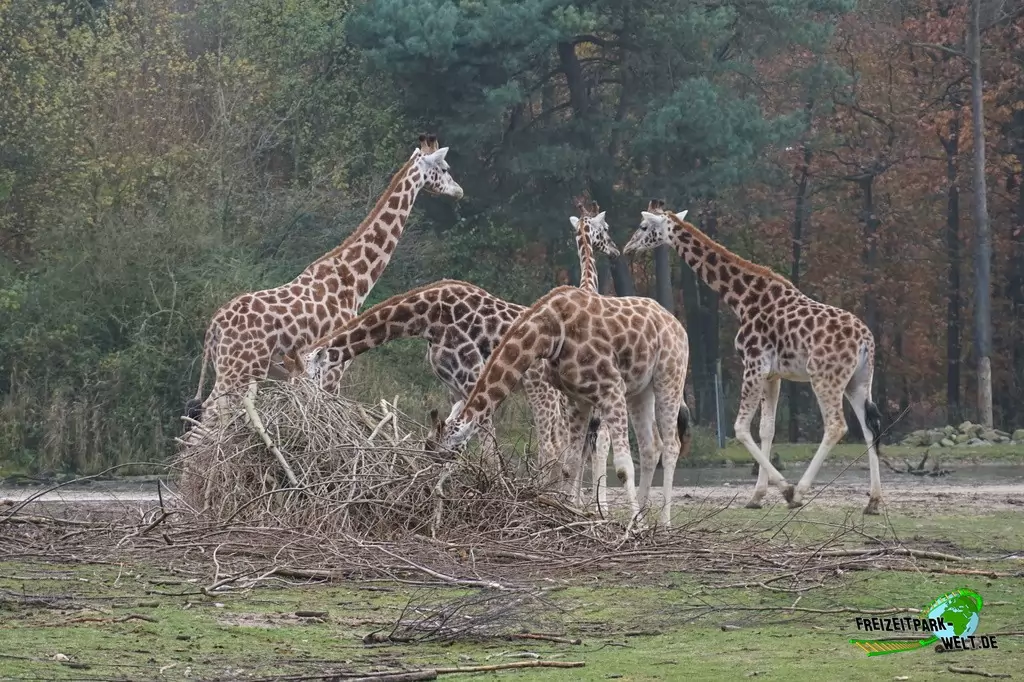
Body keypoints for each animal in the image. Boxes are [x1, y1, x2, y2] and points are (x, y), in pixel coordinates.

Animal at [181, 134, 463, 444]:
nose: (459, 191)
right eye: (445, 168)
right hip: (240, 369)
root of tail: (215, 326)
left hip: (229, 368)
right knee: (205, 424)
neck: (354, 279)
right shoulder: (333, 368)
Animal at [429, 285, 692, 526]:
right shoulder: (577, 398)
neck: (549, 332)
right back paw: (644, 521)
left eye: (447, 452)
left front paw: (630, 529)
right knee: (651, 447)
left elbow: (623, 466)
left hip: (669, 375)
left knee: (671, 446)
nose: (435, 487)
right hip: (640, 390)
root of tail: (677, 325)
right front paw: (572, 513)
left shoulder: (611, 389)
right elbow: (571, 464)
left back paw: (663, 525)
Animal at [622, 200, 884, 514]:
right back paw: (873, 501)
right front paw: (757, 496)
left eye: (643, 227)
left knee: (836, 425)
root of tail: (866, 341)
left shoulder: (754, 363)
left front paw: (785, 490)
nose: (627, 248)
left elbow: (740, 427)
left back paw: (801, 492)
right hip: (859, 381)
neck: (741, 298)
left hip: (825, 378)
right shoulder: (773, 373)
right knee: (869, 427)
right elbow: (766, 429)